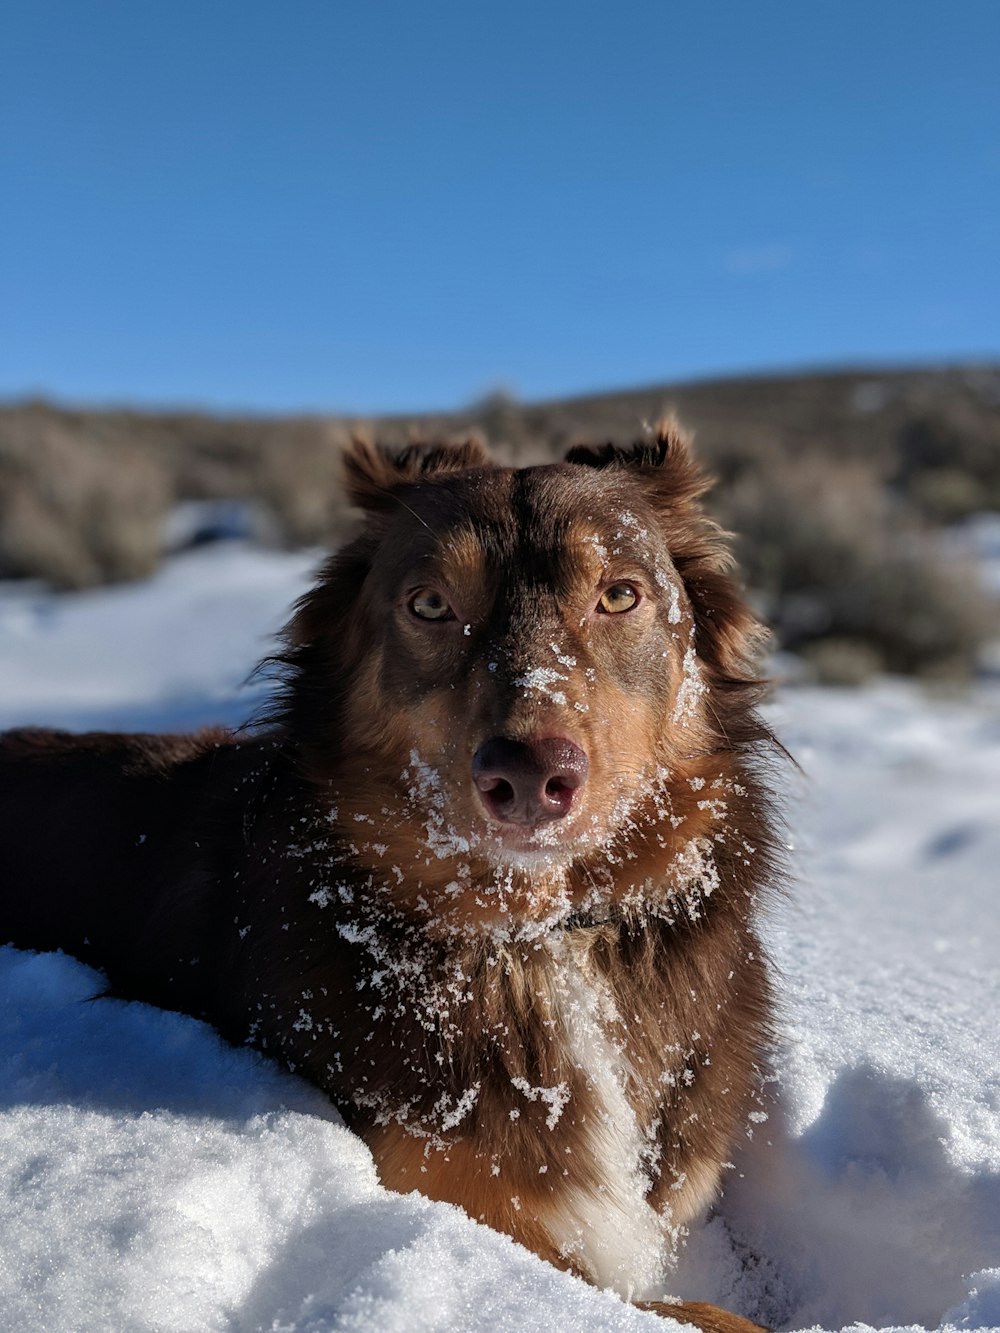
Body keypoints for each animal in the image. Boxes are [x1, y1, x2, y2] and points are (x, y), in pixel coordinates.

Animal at [0, 426, 784, 1333]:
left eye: (620, 595)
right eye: (430, 605)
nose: (530, 776)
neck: (537, 941)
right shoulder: (452, 1196)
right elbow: (702, 1312)